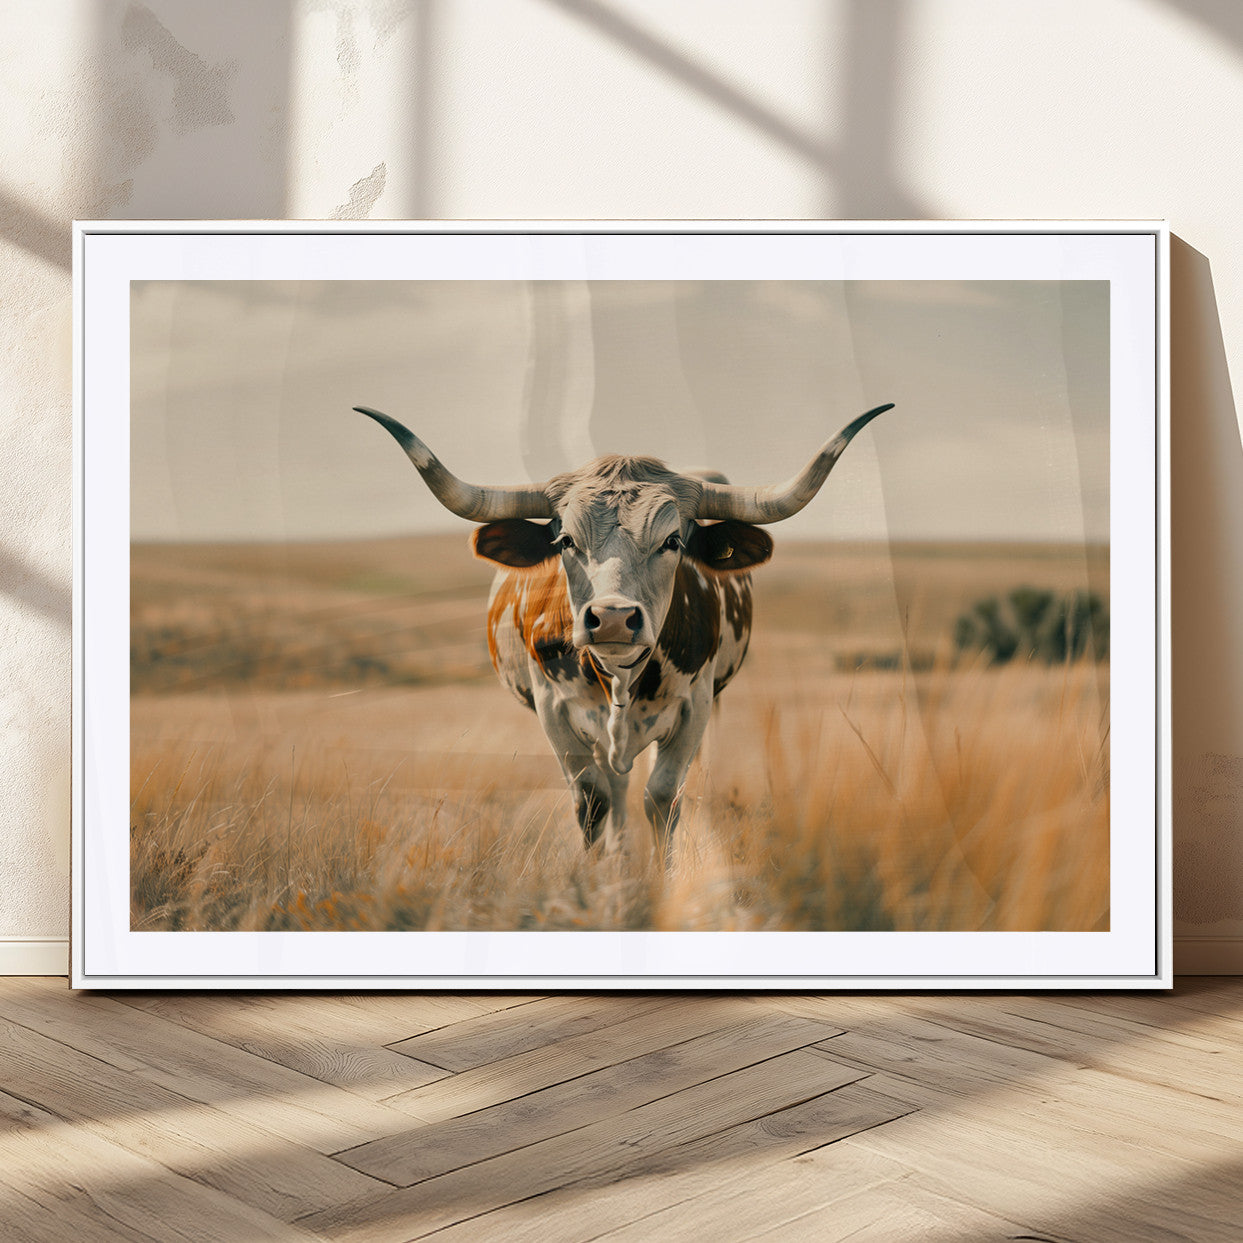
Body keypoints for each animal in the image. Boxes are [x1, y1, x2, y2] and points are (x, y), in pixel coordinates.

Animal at [357, 402, 892, 858]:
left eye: (673, 540)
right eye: (564, 540)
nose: (612, 616)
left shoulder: (695, 707)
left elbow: (663, 798)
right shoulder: (553, 710)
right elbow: (593, 800)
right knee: (612, 789)